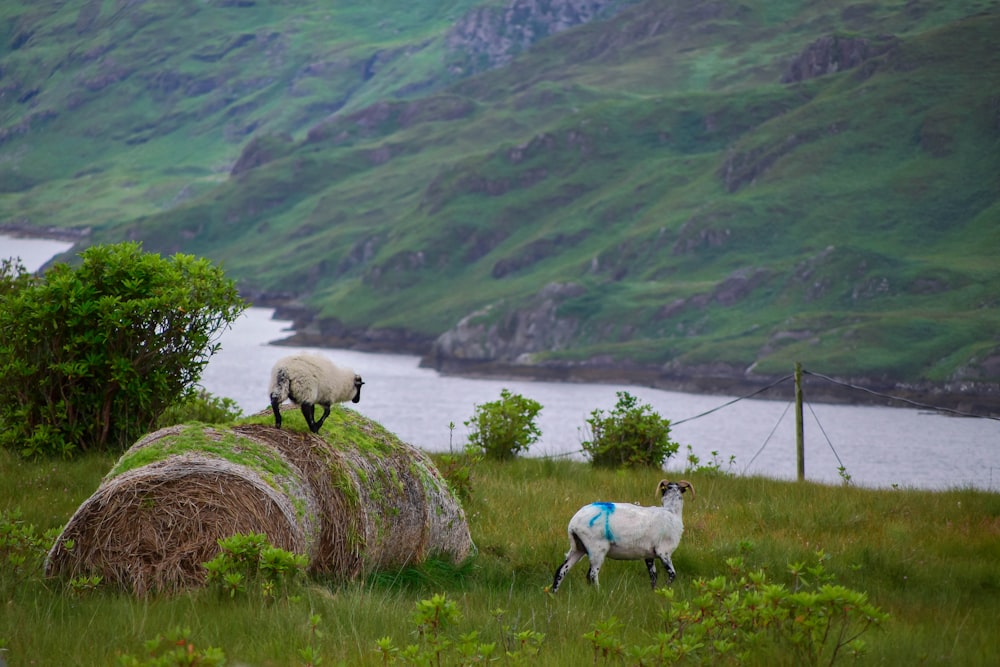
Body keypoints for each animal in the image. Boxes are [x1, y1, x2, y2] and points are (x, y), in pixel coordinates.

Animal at [552, 480, 692, 596]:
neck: (671, 511)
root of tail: (573, 524)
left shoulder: (649, 555)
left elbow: (653, 576)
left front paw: (654, 592)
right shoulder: (664, 552)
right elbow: (672, 574)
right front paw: (665, 589)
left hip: (578, 547)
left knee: (561, 570)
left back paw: (554, 594)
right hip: (597, 547)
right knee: (592, 574)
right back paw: (599, 593)